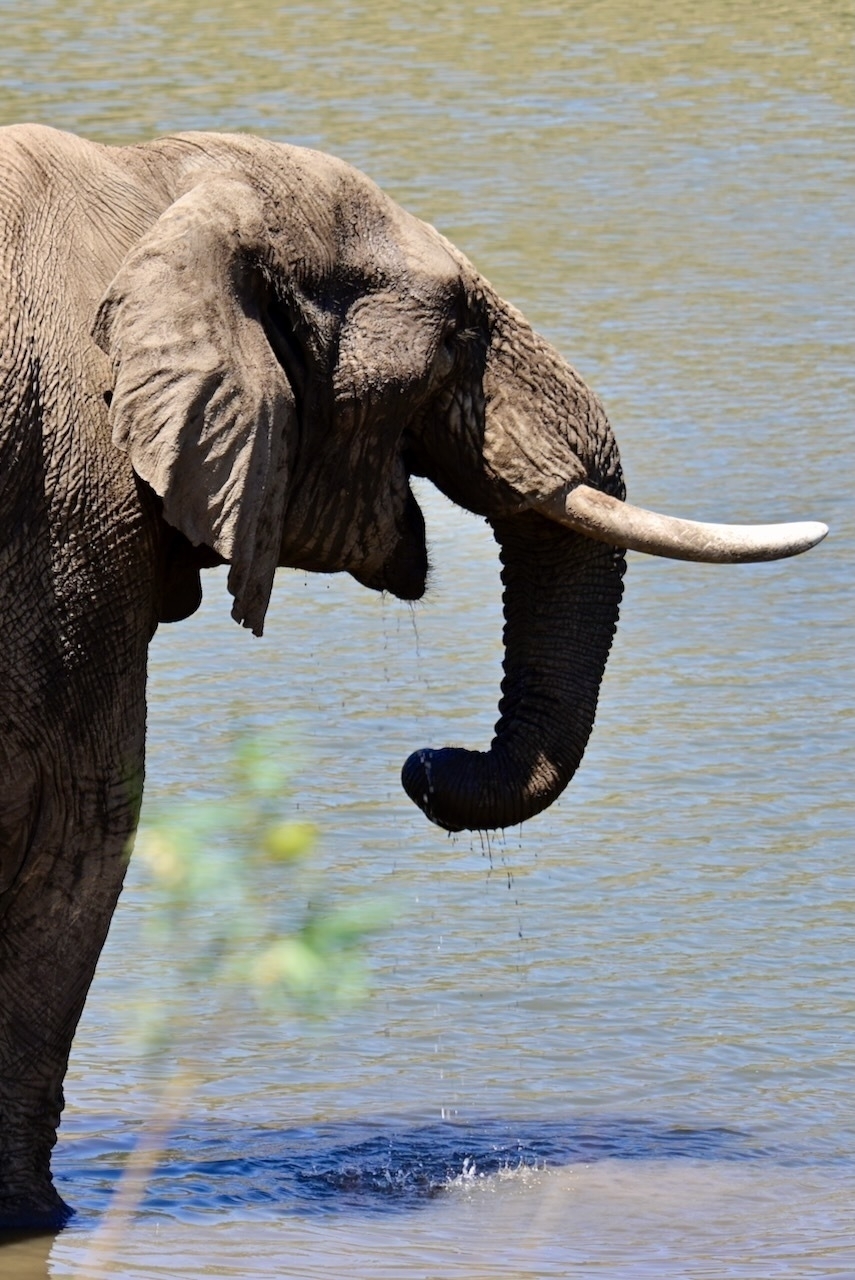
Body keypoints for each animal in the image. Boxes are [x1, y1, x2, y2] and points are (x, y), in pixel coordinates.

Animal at [0, 122, 824, 1228]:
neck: (150, 178)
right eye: (457, 334)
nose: (427, 765)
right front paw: (37, 1218)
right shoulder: (67, 499)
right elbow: (80, 821)